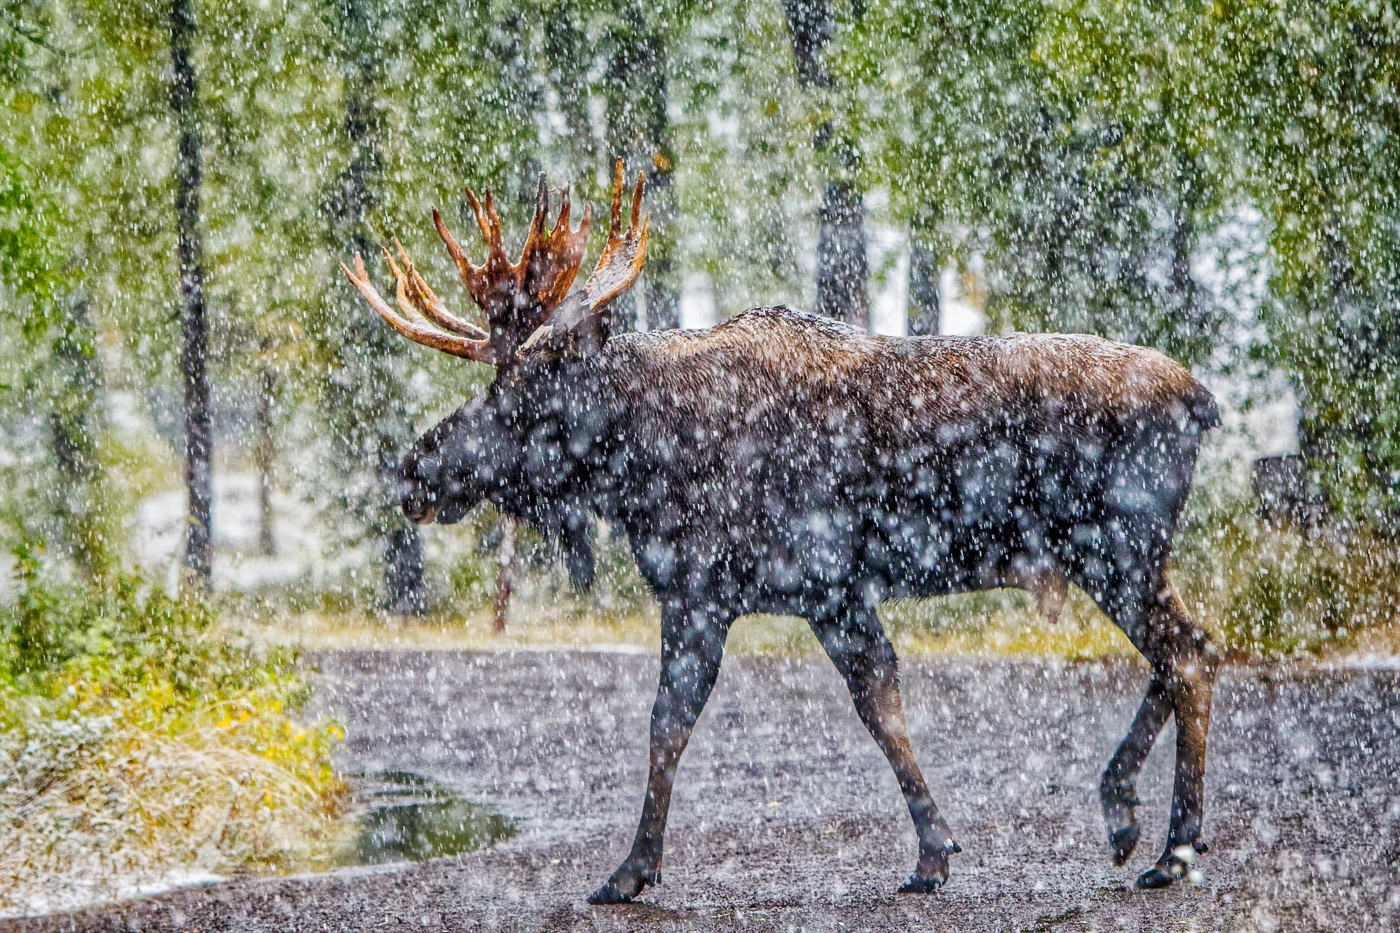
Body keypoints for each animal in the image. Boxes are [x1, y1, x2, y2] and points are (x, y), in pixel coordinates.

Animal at [344, 163, 1220, 896]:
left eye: (522, 390)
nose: (414, 467)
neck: (646, 462)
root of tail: (1202, 399)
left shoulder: (712, 590)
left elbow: (669, 723)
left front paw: (630, 869)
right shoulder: (832, 594)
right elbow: (880, 703)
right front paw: (933, 852)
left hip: (1115, 546)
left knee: (1186, 654)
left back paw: (1173, 847)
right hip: (1123, 555)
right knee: (1190, 649)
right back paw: (1123, 809)